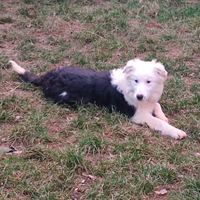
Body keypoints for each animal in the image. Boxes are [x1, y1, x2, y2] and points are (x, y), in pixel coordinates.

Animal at [9, 58, 188, 140]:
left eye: (149, 82)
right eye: (136, 80)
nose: (139, 96)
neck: (130, 88)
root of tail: (46, 77)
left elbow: (157, 105)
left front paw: (163, 115)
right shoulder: (138, 115)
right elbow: (159, 123)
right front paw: (176, 131)